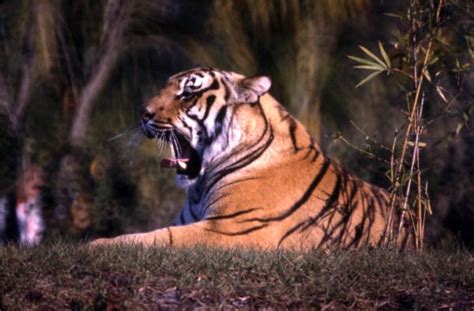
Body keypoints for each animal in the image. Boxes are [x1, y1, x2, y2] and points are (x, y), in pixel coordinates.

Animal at [90, 67, 412, 250]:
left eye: (188, 93)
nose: (143, 113)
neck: (200, 185)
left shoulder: (230, 229)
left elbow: (157, 238)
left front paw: (95, 245)